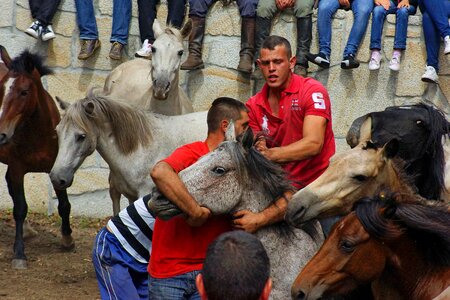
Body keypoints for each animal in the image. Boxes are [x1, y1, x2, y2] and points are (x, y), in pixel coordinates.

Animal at [0, 46, 73, 270]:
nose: (1, 134)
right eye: (0, 89)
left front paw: (67, 239)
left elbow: (64, 204)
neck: (37, 133)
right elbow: (20, 208)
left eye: (24, 91)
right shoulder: (17, 169)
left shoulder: (55, 168)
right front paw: (19, 254)